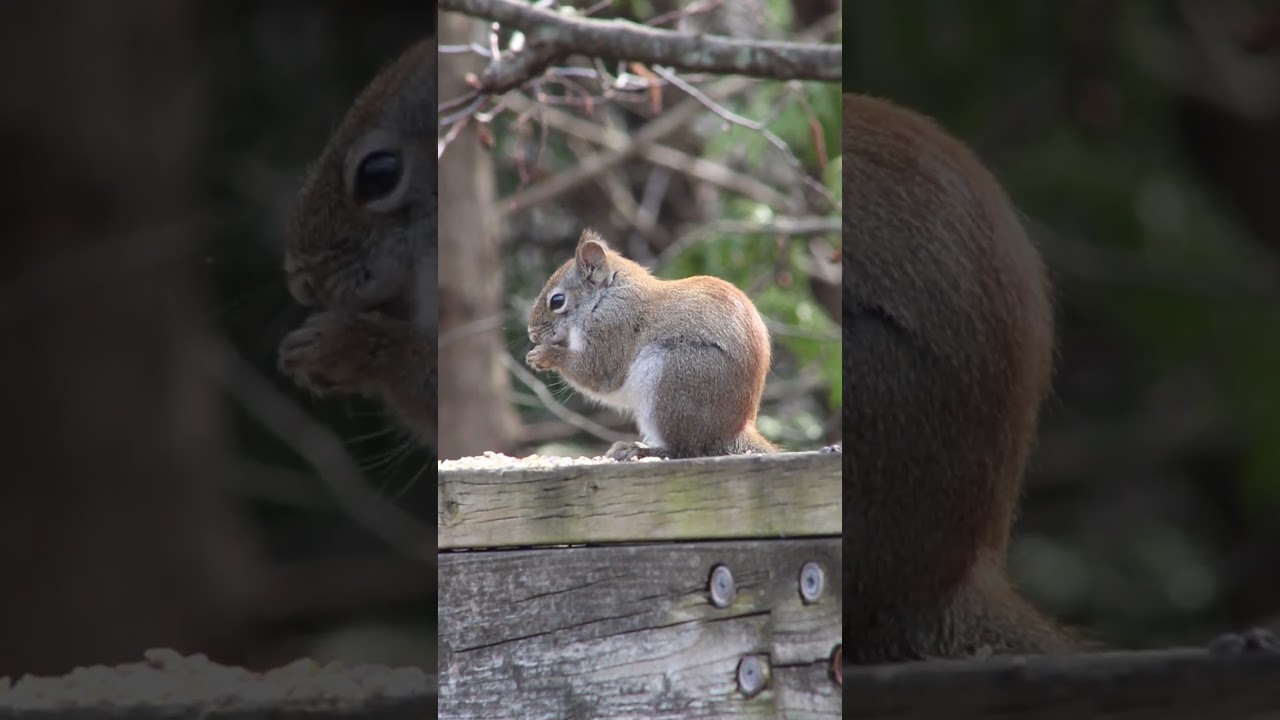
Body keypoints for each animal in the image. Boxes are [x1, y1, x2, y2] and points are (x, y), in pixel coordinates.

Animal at [526, 231, 779, 461]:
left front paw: (545, 355)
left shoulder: (612, 330)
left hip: (673, 377)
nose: (532, 333)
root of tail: (731, 434)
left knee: (685, 450)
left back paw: (641, 450)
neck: (605, 298)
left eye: (557, 301)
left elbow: (598, 374)